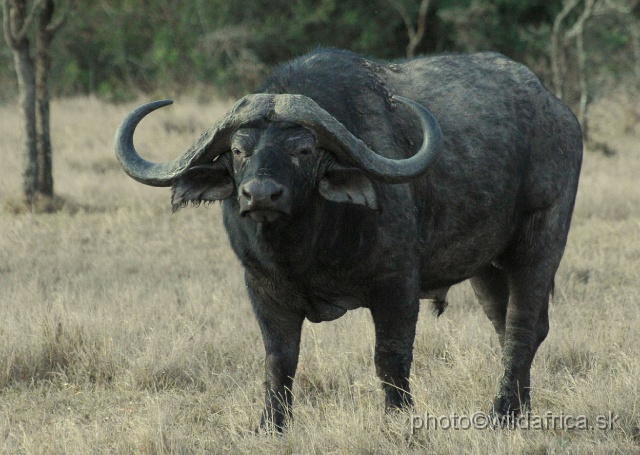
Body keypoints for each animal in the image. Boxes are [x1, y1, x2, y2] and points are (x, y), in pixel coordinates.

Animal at [114, 48, 580, 432]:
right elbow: (279, 360)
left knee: (522, 326)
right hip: (485, 266)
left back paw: (502, 412)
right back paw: (521, 411)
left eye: (303, 150)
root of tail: (559, 113)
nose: (260, 195)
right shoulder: (263, 288)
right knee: (508, 326)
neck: (305, 248)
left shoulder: (397, 285)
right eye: (239, 150)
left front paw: (398, 419)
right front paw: (271, 425)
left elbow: (390, 358)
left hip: (541, 242)